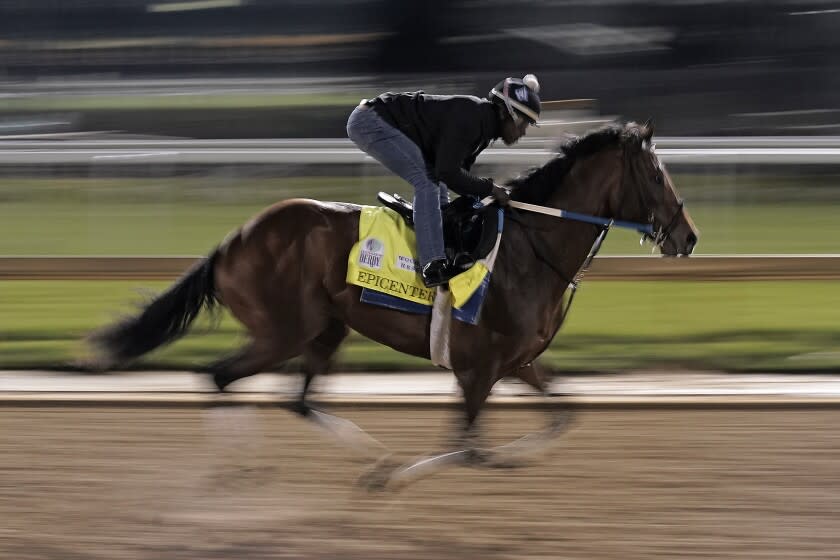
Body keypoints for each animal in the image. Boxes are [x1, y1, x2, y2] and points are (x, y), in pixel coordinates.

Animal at [90, 120, 696, 488]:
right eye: (657, 174)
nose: (688, 237)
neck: (531, 247)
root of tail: (232, 240)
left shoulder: (517, 361)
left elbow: (560, 417)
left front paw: (500, 461)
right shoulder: (479, 370)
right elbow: (466, 446)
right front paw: (401, 479)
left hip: (326, 329)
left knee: (297, 400)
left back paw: (362, 458)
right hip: (283, 331)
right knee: (218, 377)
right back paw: (243, 469)